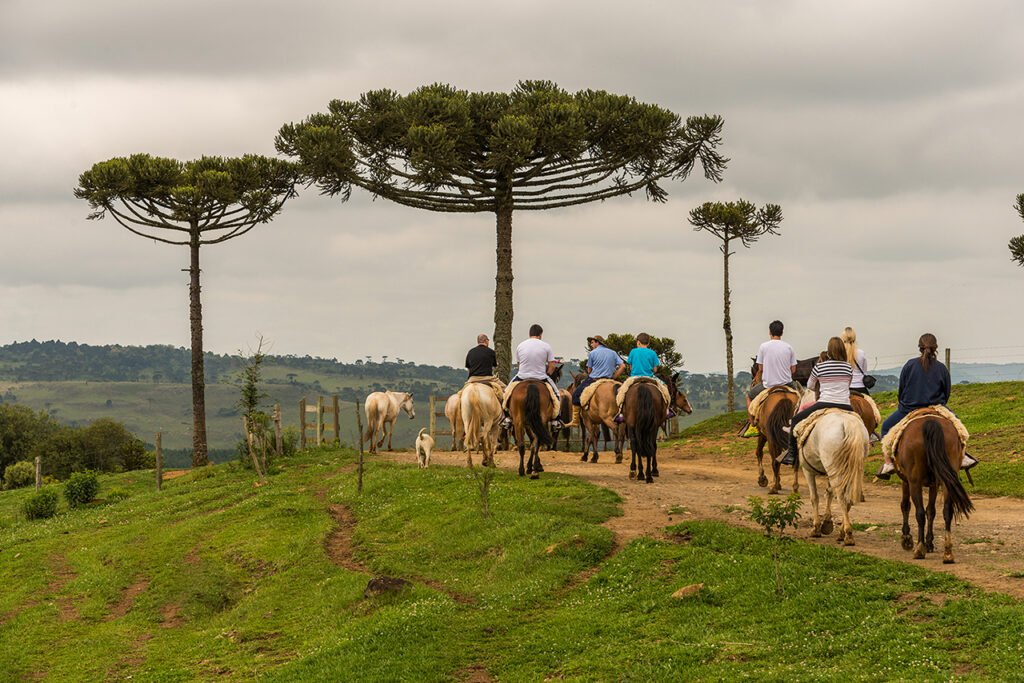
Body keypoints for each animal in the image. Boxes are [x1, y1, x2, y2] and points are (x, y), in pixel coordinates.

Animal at [794, 409, 868, 548]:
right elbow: (829, 493)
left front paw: (816, 528)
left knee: (842, 498)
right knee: (847, 498)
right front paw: (827, 523)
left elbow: (814, 498)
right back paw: (842, 533)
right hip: (852, 468)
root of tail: (848, 424)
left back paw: (848, 535)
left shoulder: (808, 471)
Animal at [901, 419, 970, 565]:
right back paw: (948, 553)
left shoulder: (907, 480)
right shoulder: (935, 483)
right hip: (947, 477)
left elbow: (906, 505)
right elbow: (931, 511)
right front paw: (930, 543)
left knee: (919, 513)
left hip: (915, 481)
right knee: (947, 511)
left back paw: (919, 549)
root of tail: (930, 422)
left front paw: (907, 538)